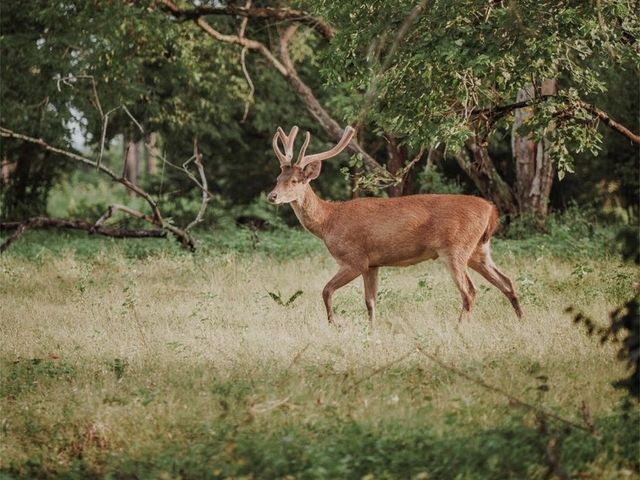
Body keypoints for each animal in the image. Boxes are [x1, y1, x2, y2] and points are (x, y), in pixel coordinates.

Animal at [268, 125, 524, 324]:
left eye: (295, 181)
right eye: (277, 179)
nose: (272, 196)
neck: (329, 222)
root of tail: (490, 210)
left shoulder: (355, 259)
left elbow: (326, 290)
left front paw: (334, 325)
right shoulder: (372, 264)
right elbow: (370, 302)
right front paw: (372, 330)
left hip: (455, 248)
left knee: (470, 291)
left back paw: (459, 327)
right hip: (479, 249)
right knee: (507, 282)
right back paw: (521, 321)